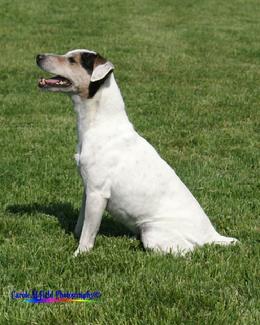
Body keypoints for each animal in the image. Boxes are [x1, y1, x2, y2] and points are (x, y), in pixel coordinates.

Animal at [36, 48, 238, 256]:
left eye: (72, 60)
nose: (38, 56)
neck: (100, 124)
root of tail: (212, 236)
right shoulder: (88, 189)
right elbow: (81, 224)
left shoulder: (97, 193)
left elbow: (88, 233)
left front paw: (78, 254)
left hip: (153, 232)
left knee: (187, 250)